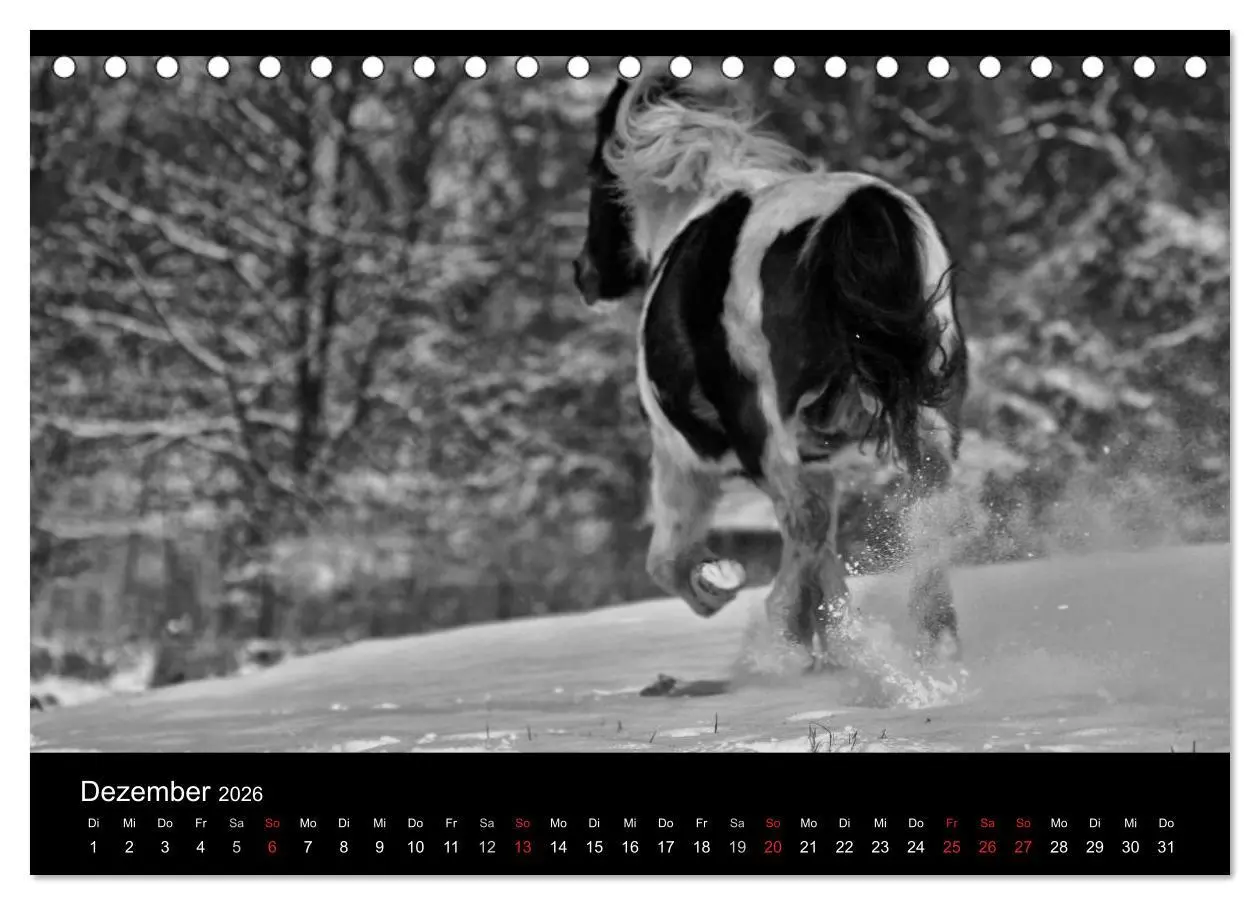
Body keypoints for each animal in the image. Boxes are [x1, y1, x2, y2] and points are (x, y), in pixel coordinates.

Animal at [572, 72, 968, 668]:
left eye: (597, 178)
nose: (584, 274)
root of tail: (861, 213)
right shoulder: (818, 460)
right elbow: (824, 552)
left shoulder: (680, 458)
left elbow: (668, 560)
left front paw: (720, 586)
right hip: (922, 420)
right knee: (926, 502)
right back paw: (933, 643)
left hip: (768, 434)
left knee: (803, 523)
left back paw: (780, 640)